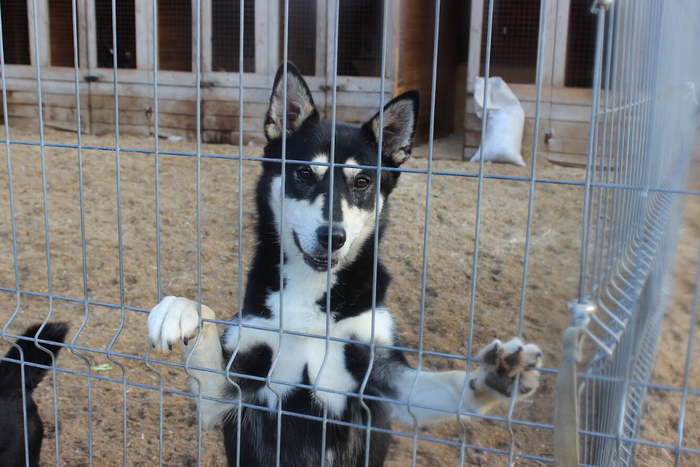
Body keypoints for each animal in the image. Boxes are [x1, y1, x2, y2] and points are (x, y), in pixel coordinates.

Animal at [148, 62, 543, 467]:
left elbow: (445, 385)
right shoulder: (231, 390)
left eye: (362, 181)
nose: (332, 236)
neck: (311, 292)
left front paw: (494, 377)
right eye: (305, 173)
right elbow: (206, 329)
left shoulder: (380, 377)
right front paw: (180, 310)